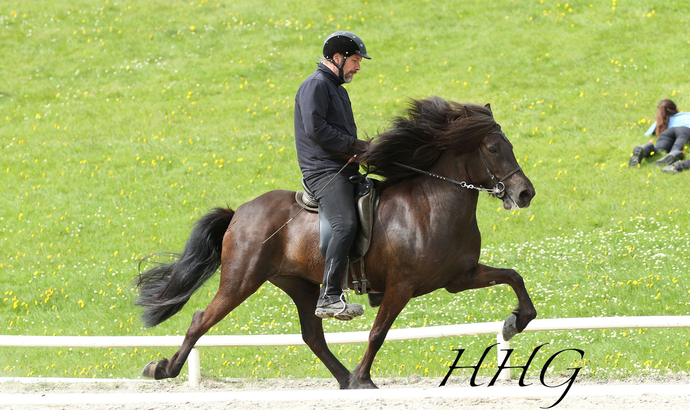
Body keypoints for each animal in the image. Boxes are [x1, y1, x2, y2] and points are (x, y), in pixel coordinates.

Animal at [133, 96, 532, 388]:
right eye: (493, 149)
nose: (525, 193)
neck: (433, 205)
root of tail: (239, 212)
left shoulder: (458, 278)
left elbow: (513, 276)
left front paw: (514, 323)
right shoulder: (401, 286)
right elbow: (378, 333)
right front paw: (364, 377)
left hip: (301, 284)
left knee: (312, 336)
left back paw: (343, 378)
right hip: (242, 279)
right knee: (201, 319)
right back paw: (163, 369)